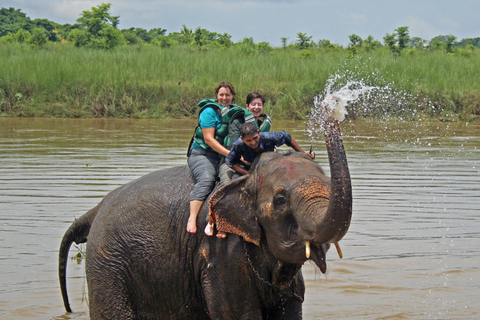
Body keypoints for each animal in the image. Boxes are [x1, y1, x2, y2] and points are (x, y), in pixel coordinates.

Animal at [59, 119, 352, 318]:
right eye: (280, 200)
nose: (331, 114)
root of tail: (97, 208)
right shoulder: (220, 252)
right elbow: (238, 313)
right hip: (107, 263)